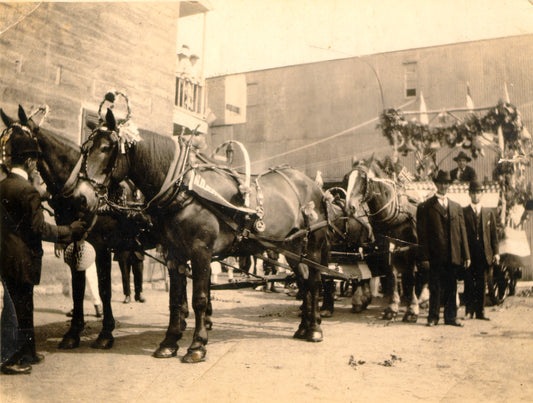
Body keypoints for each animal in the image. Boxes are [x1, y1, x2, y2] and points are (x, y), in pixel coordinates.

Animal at [1, 106, 156, 350]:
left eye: (20, 144)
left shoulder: (102, 248)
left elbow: (104, 288)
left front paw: (106, 333)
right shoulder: (74, 242)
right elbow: (77, 287)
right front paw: (73, 332)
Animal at [70, 109, 328, 364]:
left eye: (106, 148)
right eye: (85, 149)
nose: (80, 197)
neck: (185, 190)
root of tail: (311, 185)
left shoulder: (201, 251)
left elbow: (200, 298)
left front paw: (197, 346)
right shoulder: (174, 253)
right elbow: (176, 299)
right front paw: (169, 343)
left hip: (312, 245)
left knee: (315, 281)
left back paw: (315, 329)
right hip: (292, 248)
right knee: (304, 280)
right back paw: (303, 327)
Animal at [342, 157, 426, 322]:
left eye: (363, 179)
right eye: (347, 178)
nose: (350, 207)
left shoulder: (411, 246)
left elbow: (410, 276)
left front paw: (412, 309)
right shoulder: (386, 245)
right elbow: (392, 274)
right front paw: (392, 308)